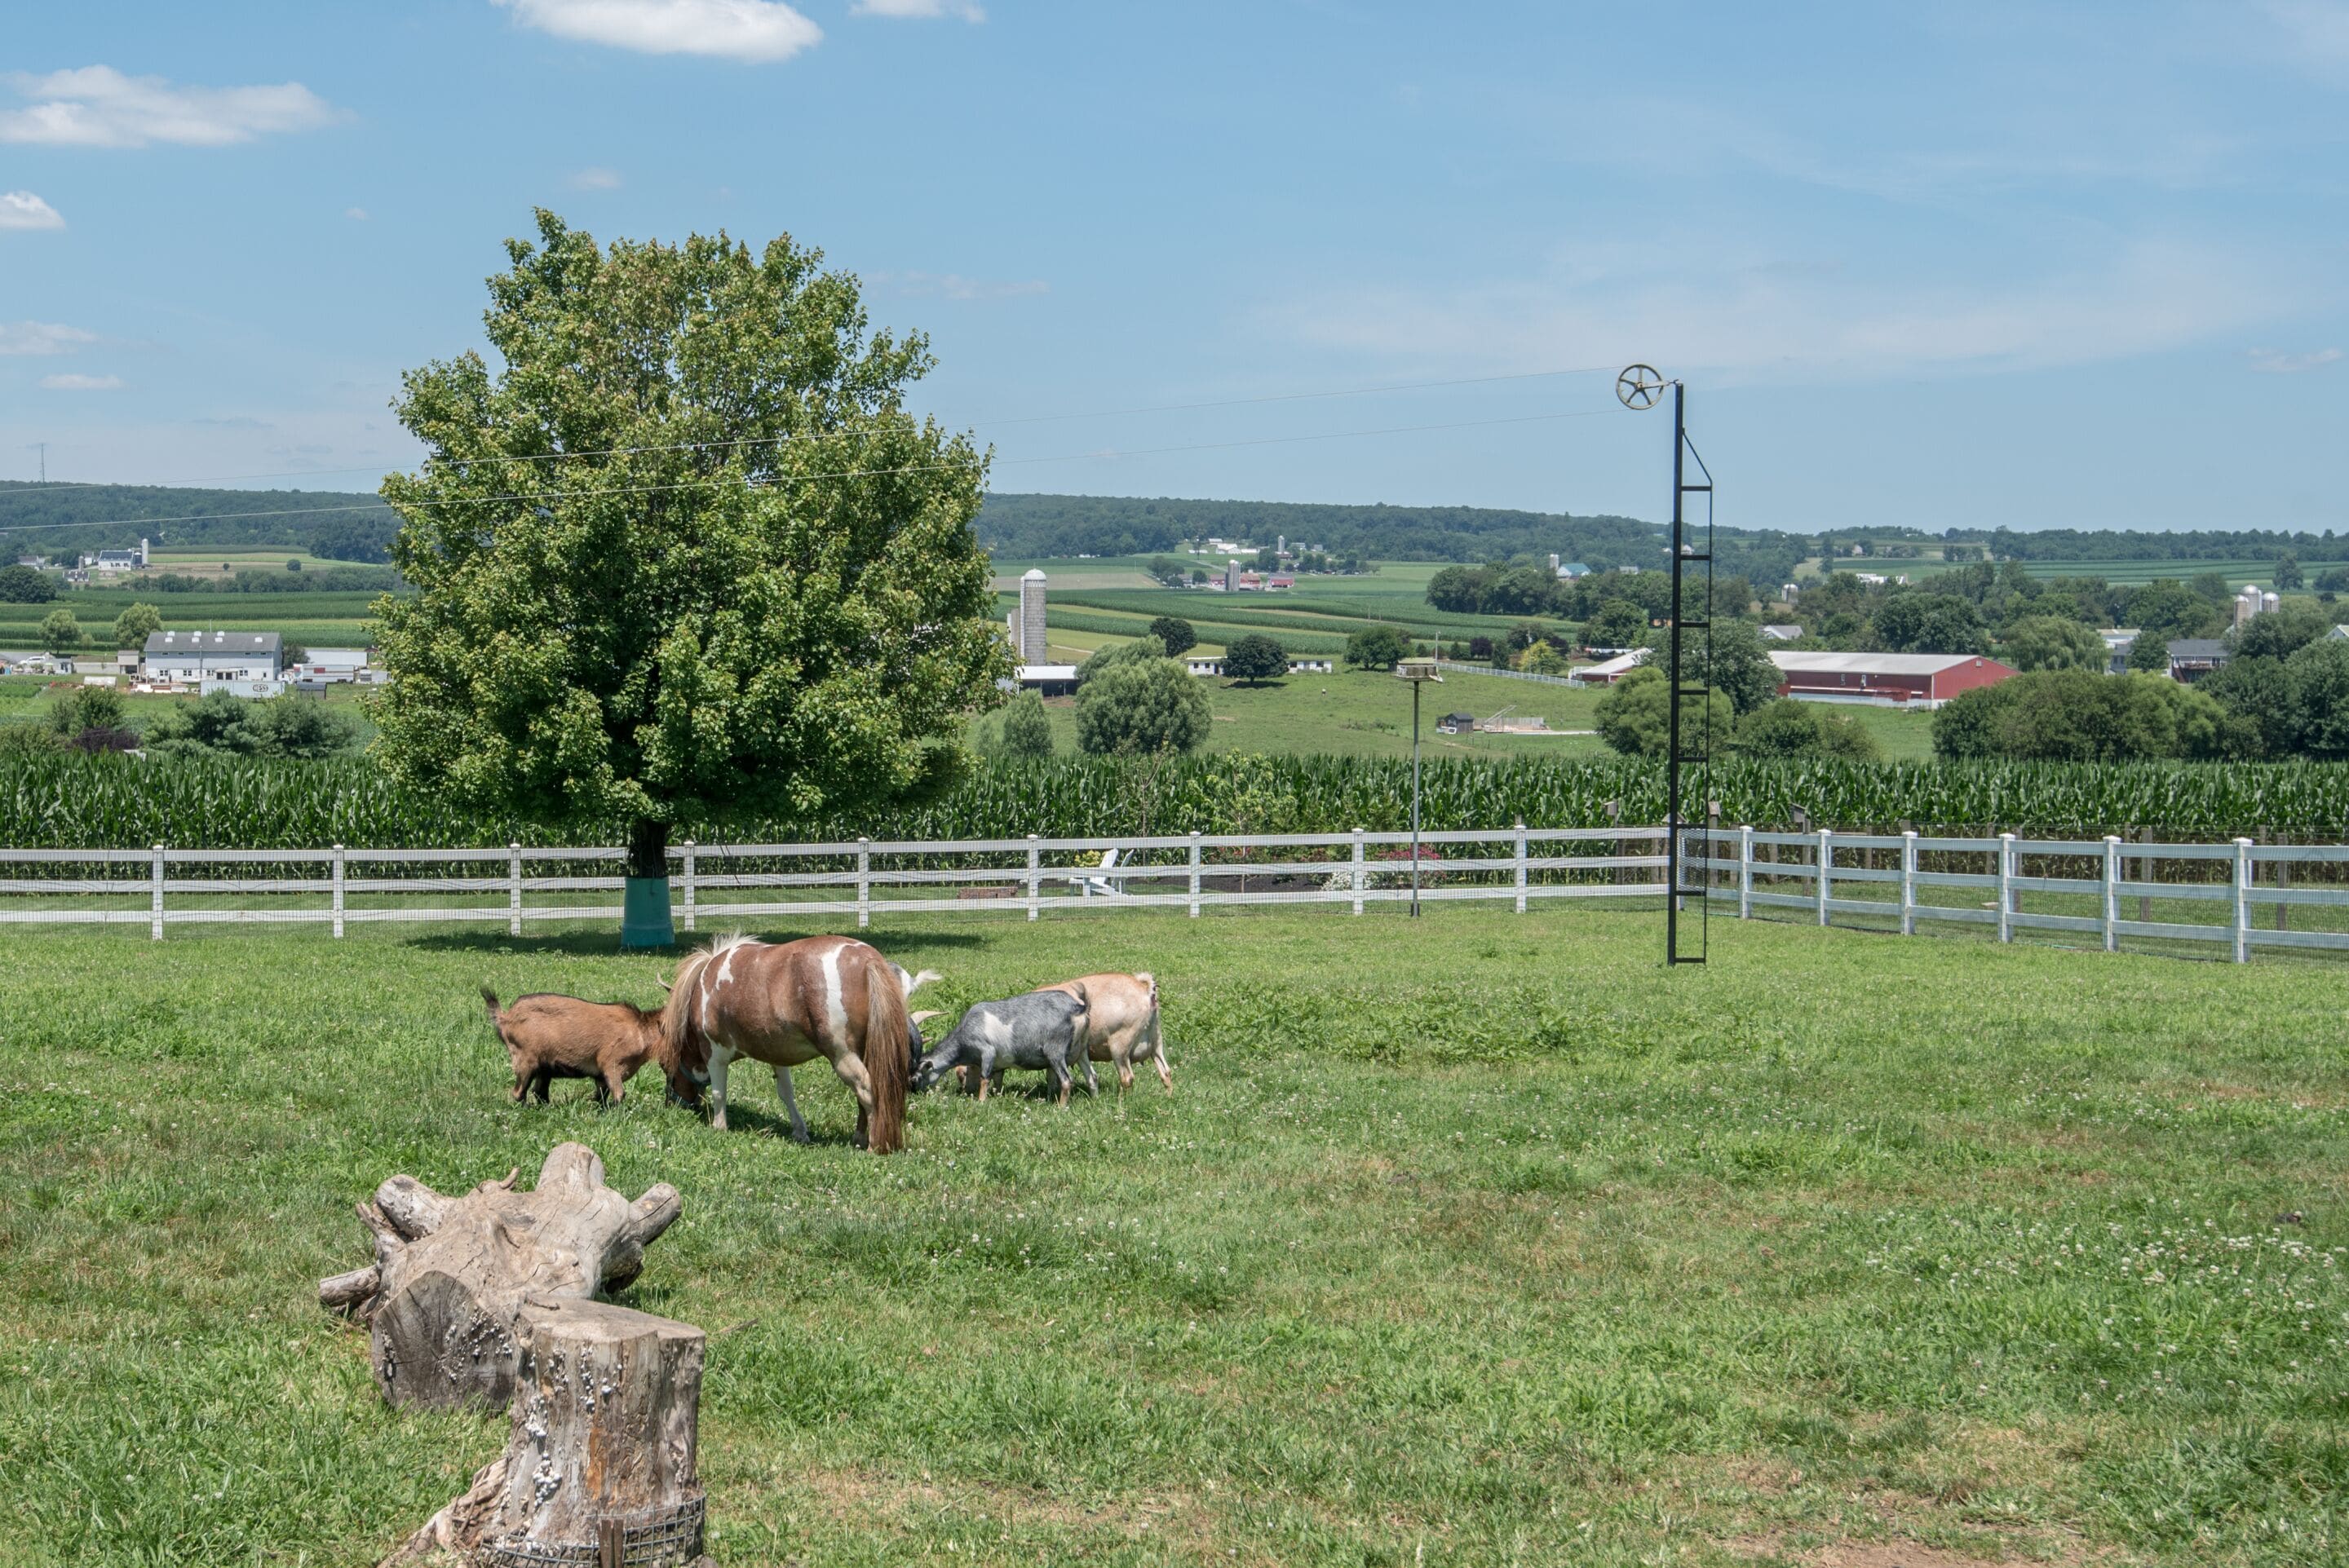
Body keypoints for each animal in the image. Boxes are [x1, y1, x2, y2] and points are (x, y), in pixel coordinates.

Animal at [658, 934, 937, 1154]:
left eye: (663, 1065)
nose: (674, 1104)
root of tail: (869, 960)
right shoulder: (777, 1055)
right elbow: (786, 1093)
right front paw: (800, 1131)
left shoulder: (715, 1054)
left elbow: (719, 1092)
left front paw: (719, 1127)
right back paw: (860, 1138)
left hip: (843, 1056)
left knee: (867, 1089)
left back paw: (875, 1145)